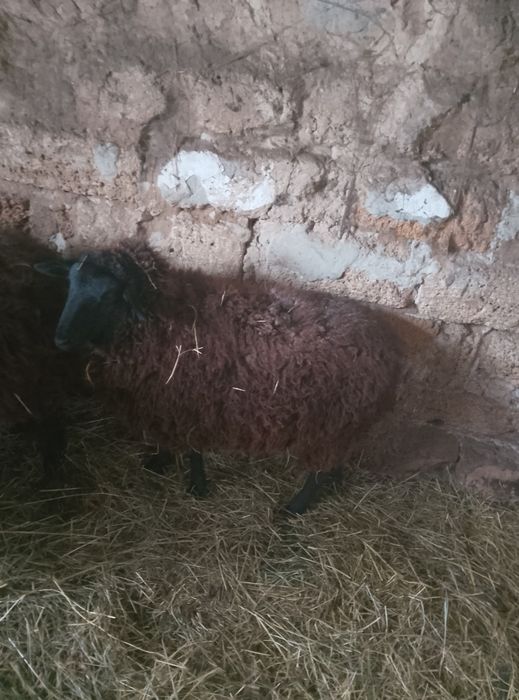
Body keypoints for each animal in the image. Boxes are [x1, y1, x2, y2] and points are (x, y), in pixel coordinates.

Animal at [37, 240, 401, 514]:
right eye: (70, 285)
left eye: (109, 295)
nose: (61, 339)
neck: (158, 317)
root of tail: (388, 346)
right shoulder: (164, 397)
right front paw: (159, 460)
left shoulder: (191, 399)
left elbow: (193, 448)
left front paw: (196, 485)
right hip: (343, 424)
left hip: (330, 420)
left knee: (318, 471)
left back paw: (293, 508)